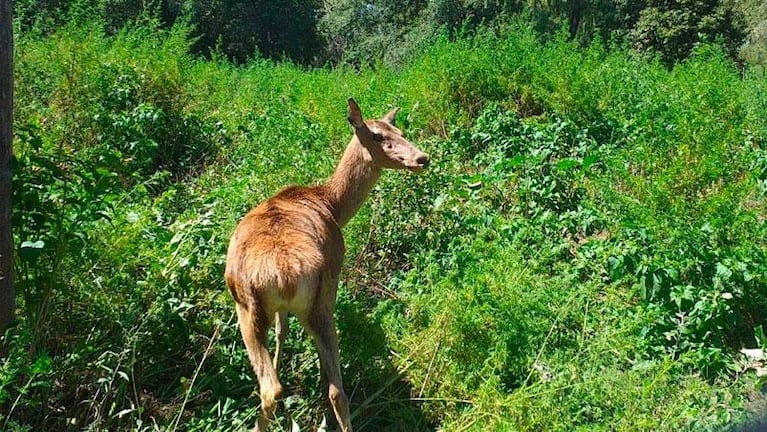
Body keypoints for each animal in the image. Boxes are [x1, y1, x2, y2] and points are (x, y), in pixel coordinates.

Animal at [225, 98, 432, 432]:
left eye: (400, 131)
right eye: (377, 135)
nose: (422, 158)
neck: (330, 204)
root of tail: (285, 275)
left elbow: (282, 330)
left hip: (253, 307)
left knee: (277, 387)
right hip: (311, 299)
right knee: (330, 389)